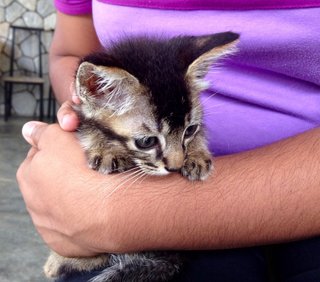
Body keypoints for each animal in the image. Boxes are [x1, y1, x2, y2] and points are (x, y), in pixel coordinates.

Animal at [43, 32, 239, 280]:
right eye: (147, 142)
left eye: (190, 130)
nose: (175, 167)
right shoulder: (79, 114)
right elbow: (89, 127)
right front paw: (107, 149)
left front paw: (197, 155)